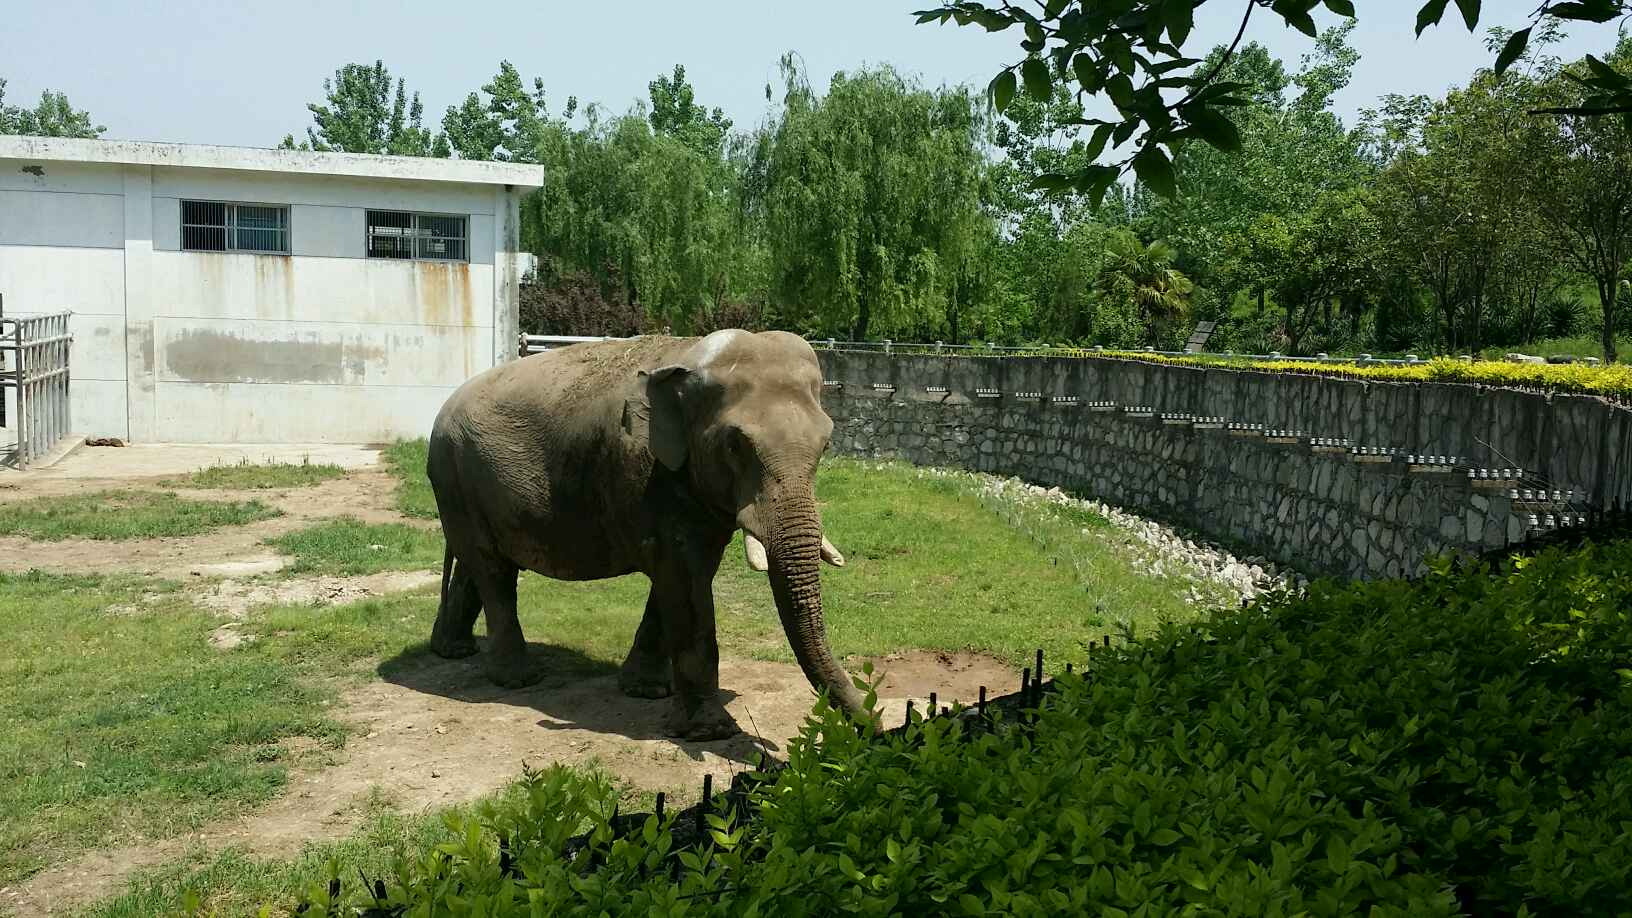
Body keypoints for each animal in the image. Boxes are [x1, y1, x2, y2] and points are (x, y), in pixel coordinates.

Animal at [427, 328, 874, 735]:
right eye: (735, 445)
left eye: (826, 446)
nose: (877, 725)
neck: (690, 356)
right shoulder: (650, 473)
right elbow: (684, 577)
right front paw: (709, 731)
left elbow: (686, 572)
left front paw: (645, 691)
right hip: (452, 474)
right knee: (492, 570)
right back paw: (517, 679)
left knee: (477, 564)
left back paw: (453, 651)